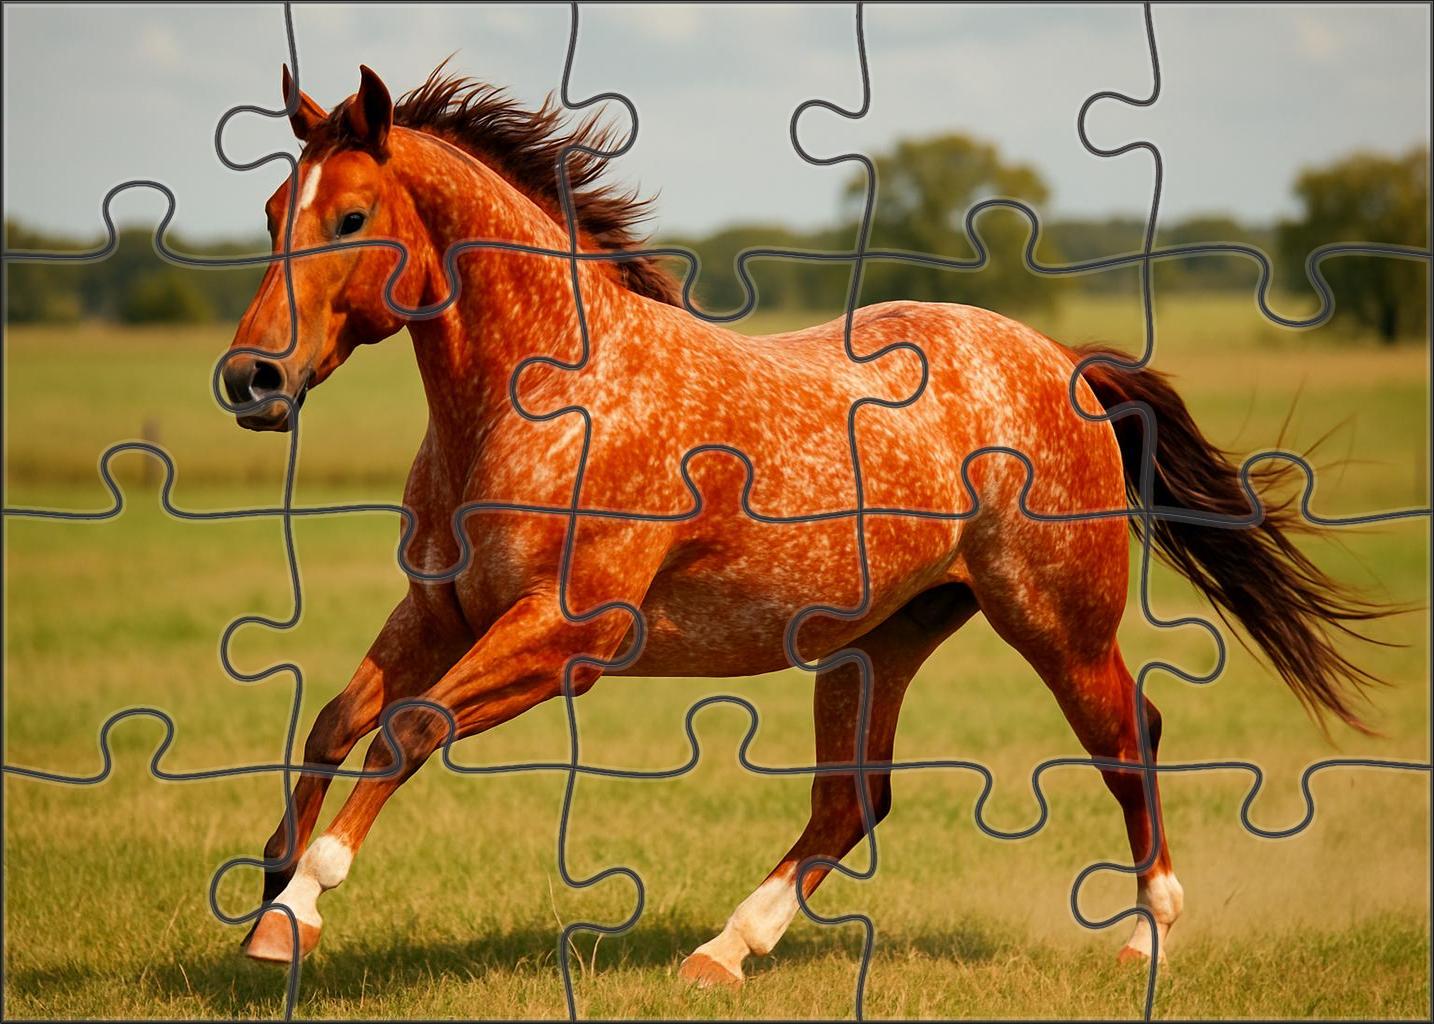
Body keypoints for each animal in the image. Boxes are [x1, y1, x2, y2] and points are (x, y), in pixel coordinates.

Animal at [224, 64, 1385, 985]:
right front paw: (267, 881)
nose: (250, 379)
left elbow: (409, 729)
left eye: (351, 218)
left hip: (1058, 624)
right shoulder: (441, 609)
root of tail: (1064, 364)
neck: (545, 397)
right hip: (881, 640)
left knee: (1128, 741)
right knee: (853, 801)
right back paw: (723, 952)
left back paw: (1147, 936)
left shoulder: (566, 635)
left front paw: (297, 911)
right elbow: (335, 722)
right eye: (276, 208)